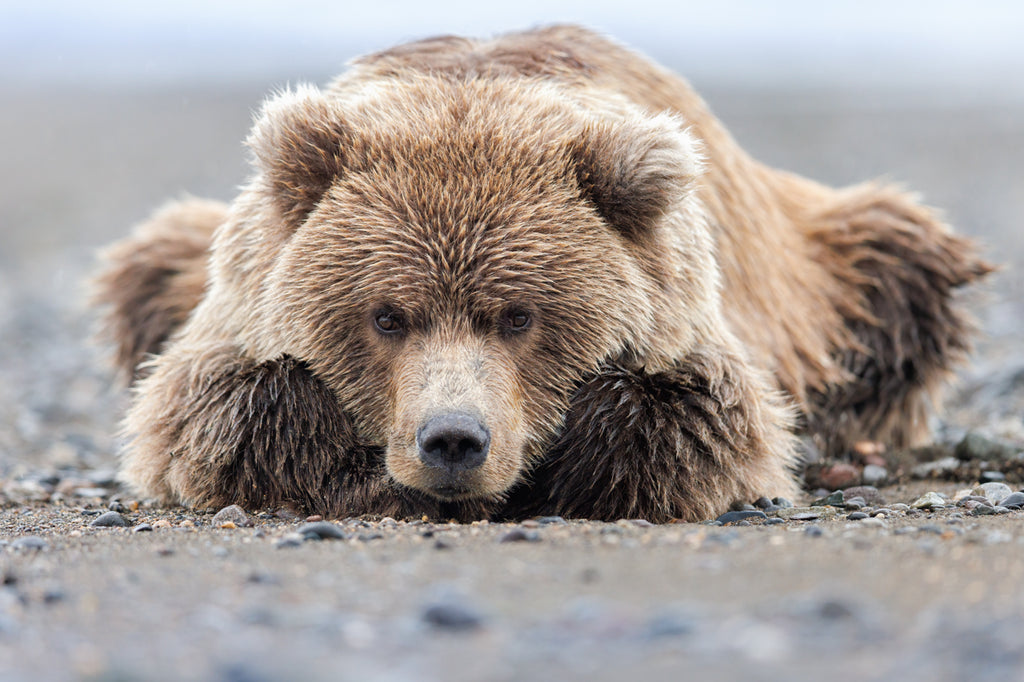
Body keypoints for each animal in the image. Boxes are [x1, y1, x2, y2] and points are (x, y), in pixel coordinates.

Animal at [94, 22, 991, 520]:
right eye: (387, 315)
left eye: (519, 315)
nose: (453, 440)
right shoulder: (242, 298)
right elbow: (219, 409)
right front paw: (372, 478)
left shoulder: (686, 305)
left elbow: (697, 419)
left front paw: (557, 468)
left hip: (825, 276)